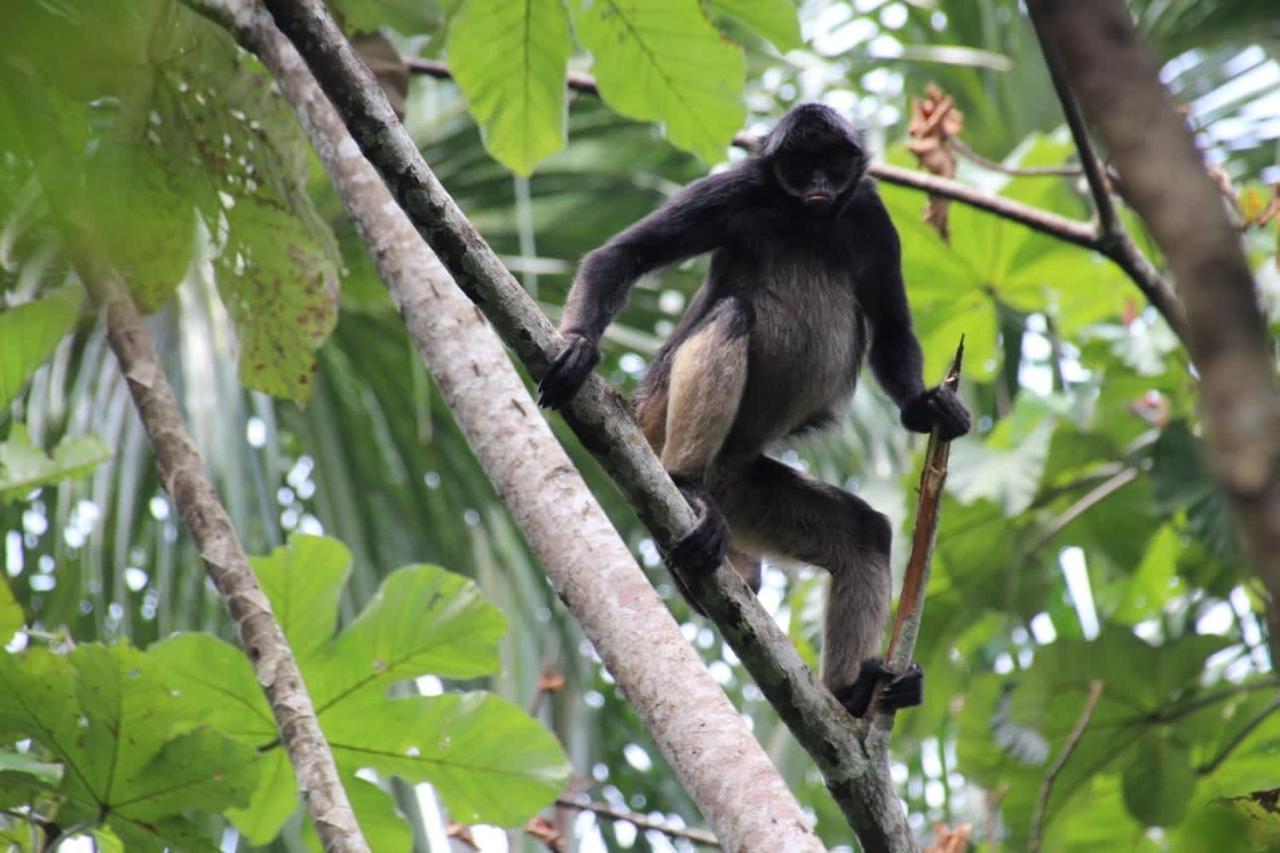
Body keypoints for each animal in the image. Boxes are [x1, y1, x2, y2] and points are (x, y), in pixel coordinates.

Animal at [535, 103, 962, 712]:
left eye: (833, 161)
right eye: (799, 162)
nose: (817, 184)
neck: (807, 221)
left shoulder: (869, 213)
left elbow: (893, 329)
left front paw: (926, 410)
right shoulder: (736, 189)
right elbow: (622, 255)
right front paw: (578, 344)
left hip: (744, 487)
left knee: (865, 534)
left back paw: (851, 696)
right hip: (656, 414)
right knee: (733, 313)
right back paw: (684, 485)